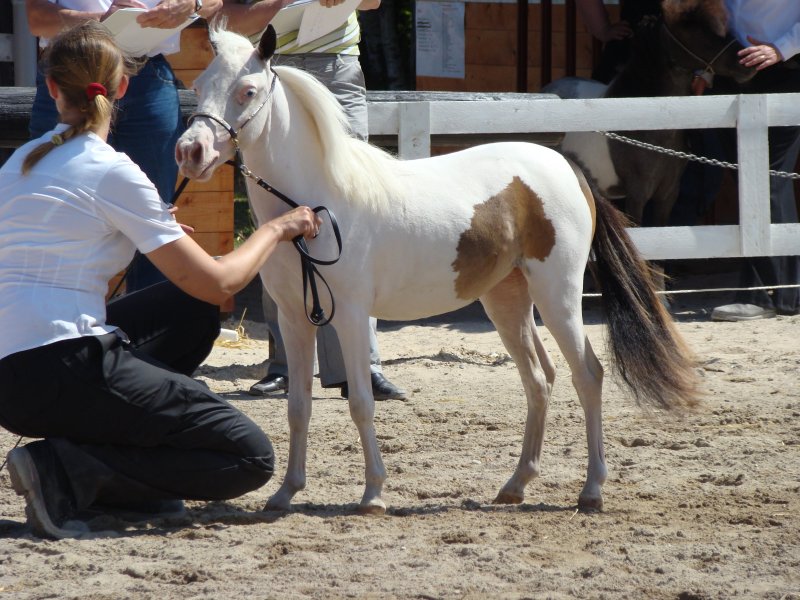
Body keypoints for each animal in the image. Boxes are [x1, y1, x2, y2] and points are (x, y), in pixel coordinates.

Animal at [175, 24, 700, 515]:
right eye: (199, 85)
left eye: (248, 91)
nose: (190, 152)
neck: (319, 202)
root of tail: (566, 166)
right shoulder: (293, 319)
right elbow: (298, 407)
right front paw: (285, 493)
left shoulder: (350, 316)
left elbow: (361, 403)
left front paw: (373, 494)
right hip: (507, 301)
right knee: (538, 379)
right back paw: (514, 486)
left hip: (559, 298)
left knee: (587, 376)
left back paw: (591, 491)